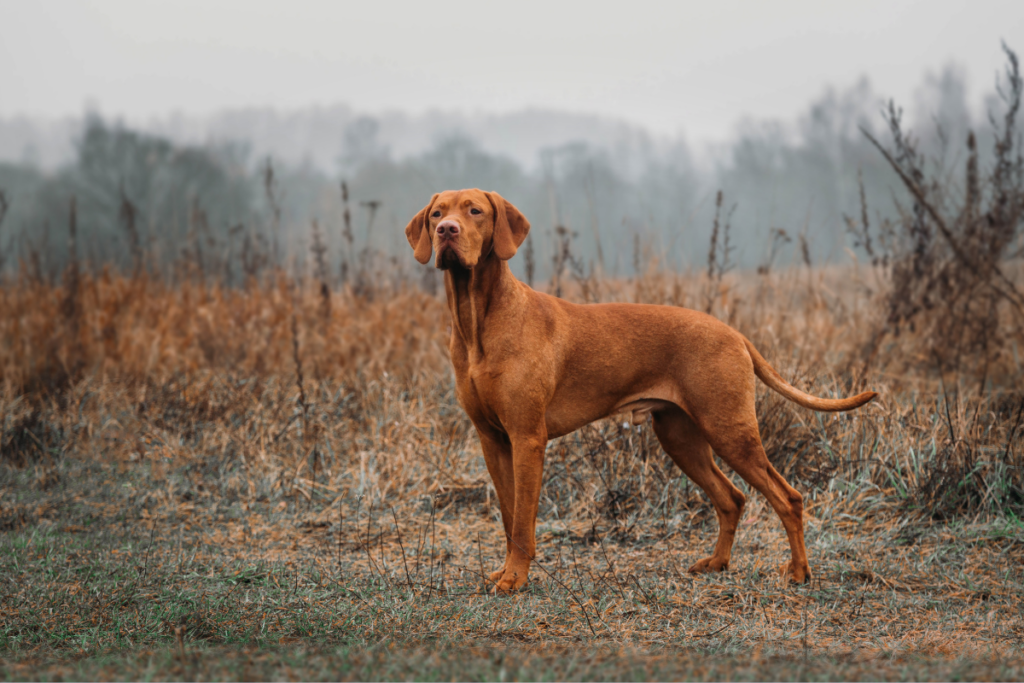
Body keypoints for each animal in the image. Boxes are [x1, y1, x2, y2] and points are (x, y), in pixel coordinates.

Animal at [403, 188, 876, 593]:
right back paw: (718, 563)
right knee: (732, 498)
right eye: (437, 214)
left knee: (787, 497)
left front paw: (515, 579)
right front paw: (505, 572)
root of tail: (734, 333)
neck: (478, 321)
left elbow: (521, 524)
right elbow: (507, 517)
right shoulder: (493, 440)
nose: (447, 232)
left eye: (474, 211)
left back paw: (798, 572)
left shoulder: (527, 439)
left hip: (729, 430)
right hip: (680, 437)